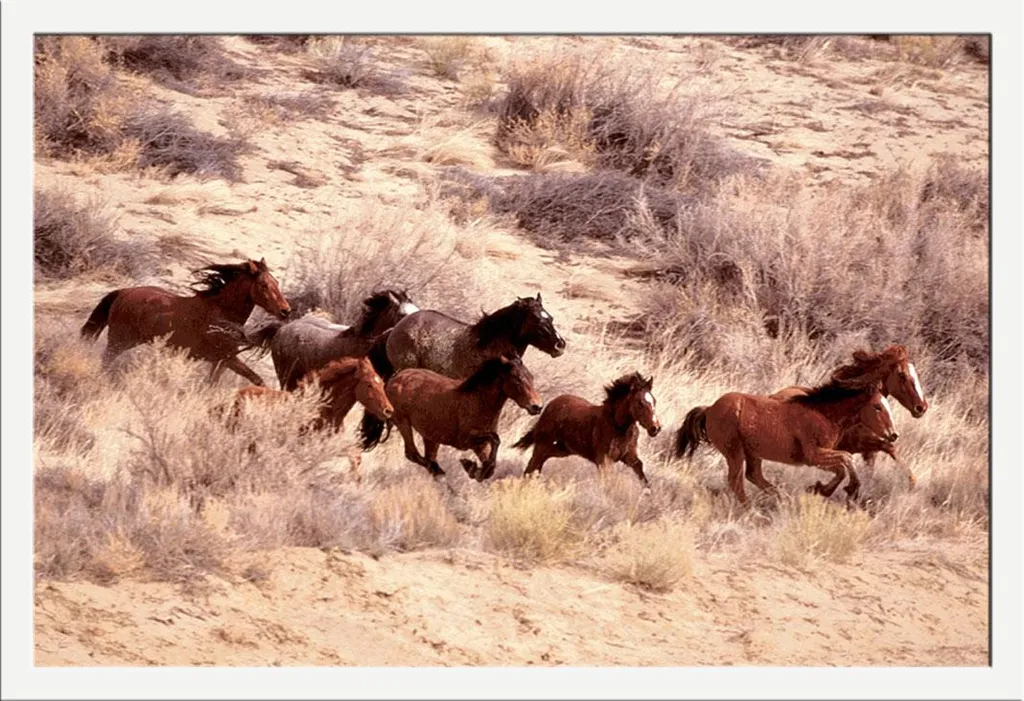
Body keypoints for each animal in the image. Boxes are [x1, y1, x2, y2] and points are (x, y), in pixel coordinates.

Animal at [80, 258, 290, 386]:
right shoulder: (228, 358)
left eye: (276, 282)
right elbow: (258, 380)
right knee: (106, 360)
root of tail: (122, 292)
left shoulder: (222, 362)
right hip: (119, 341)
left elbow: (213, 384)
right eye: (263, 285)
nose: (285, 310)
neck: (221, 314)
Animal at [359, 355, 543, 482]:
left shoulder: (480, 445)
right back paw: (438, 471)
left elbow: (491, 465)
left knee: (427, 456)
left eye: (531, 377)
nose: (537, 406)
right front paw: (469, 465)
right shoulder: (466, 440)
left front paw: (474, 468)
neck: (477, 400)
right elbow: (496, 439)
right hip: (403, 423)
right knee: (412, 454)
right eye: (517, 379)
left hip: (430, 436)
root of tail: (394, 379)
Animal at [513, 372, 661, 488]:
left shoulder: (629, 456)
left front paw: (647, 493)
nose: (655, 428)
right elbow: (606, 482)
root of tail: (551, 404)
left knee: (543, 458)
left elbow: (639, 468)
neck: (618, 427)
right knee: (534, 462)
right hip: (543, 443)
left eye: (654, 401)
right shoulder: (604, 461)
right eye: (640, 403)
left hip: (564, 449)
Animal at [675, 380, 899, 506]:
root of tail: (710, 409)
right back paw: (751, 510)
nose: (893, 435)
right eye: (878, 407)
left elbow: (841, 468)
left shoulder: (821, 456)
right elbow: (847, 459)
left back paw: (781, 498)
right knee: (736, 480)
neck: (823, 414)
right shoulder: (813, 455)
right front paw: (847, 488)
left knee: (753, 475)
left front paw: (820, 489)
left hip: (752, 452)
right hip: (734, 451)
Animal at [770, 345, 927, 486]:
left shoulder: (868, 452)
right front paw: (912, 482)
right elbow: (888, 446)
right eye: (902, 376)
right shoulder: (859, 444)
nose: (921, 407)